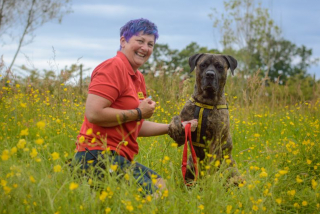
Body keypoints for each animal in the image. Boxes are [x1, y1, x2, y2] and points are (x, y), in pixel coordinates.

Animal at [169, 53, 239, 184]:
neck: (205, 102)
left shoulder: (215, 141)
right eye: (203, 65)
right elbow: (176, 118)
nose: (210, 74)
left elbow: (210, 166)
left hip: (230, 169)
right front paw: (174, 127)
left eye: (219, 66)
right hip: (189, 164)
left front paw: (208, 181)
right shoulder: (182, 137)